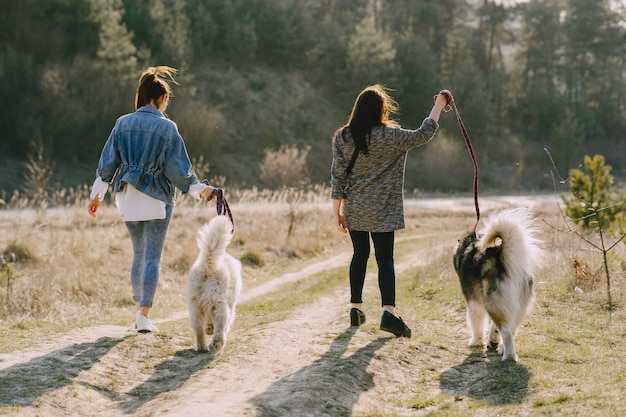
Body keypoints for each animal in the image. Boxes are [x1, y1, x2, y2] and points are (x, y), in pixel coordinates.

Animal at [185, 214, 241, 352]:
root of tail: (207, 266)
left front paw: (209, 329)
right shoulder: (230, 305)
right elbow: (226, 323)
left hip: (194, 306)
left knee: (198, 329)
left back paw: (202, 347)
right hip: (220, 304)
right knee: (221, 325)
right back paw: (217, 343)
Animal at [450, 208, 540, 360]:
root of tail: (506, 260)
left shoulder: (474, 302)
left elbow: (476, 322)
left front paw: (476, 341)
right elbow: (493, 327)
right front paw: (492, 341)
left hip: (493, 303)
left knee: (507, 331)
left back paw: (509, 356)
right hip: (516, 307)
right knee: (511, 329)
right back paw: (502, 349)